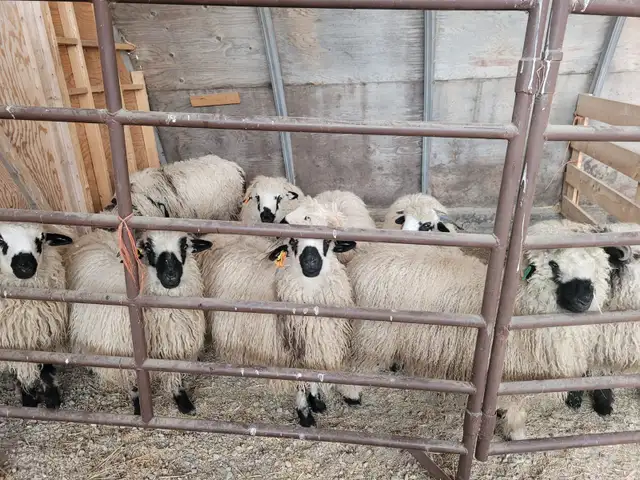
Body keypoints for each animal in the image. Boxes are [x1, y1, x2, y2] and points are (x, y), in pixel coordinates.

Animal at [0, 222, 73, 408]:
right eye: (0, 240)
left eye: (40, 239)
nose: (26, 265)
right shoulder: (11, 340)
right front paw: (29, 400)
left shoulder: (45, 335)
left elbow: (46, 370)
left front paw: (52, 401)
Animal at [67, 228, 212, 415]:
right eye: (148, 248)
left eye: (184, 246)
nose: (171, 277)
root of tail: (96, 234)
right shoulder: (127, 353)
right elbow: (134, 382)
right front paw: (140, 406)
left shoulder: (174, 345)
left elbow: (174, 376)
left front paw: (183, 402)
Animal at [267, 198, 360, 427]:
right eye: (293, 241)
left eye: (328, 241)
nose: (310, 263)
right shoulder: (293, 348)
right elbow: (300, 380)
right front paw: (304, 413)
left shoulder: (317, 339)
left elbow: (316, 372)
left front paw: (316, 400)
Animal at [346, 218, 615, 440]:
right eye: (554, 265)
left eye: (596, 266)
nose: (584, 300)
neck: (517, 302)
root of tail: (361, 260)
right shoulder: (513, 375)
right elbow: (517, 409)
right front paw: (516, 434)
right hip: (372, 334)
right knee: (354, 366)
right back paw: (352, 395)